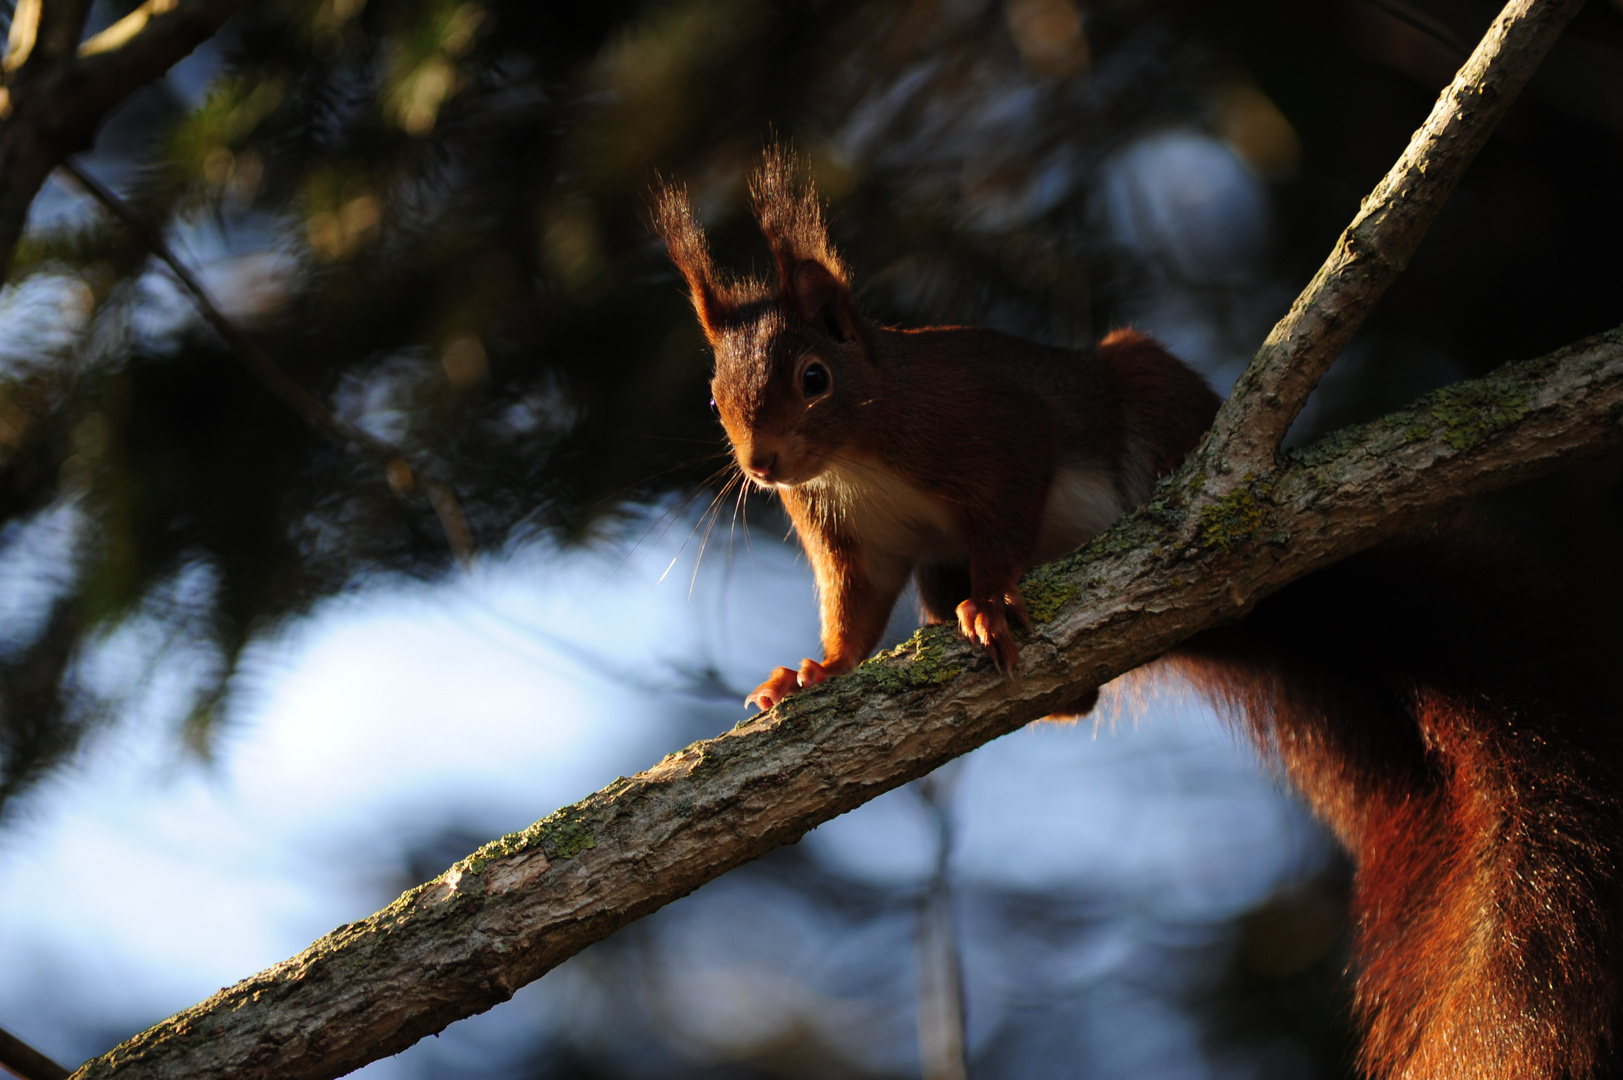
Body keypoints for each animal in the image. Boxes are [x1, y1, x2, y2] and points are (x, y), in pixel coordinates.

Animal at [649, 149, 1623, 1078]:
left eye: (814, 377)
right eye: (714, 395)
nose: (762, 464)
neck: (857, 452)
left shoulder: (993, 430)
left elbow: (1005, 518)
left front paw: (990, 601)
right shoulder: (853, 540)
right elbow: (851, 613)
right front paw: (811, 672)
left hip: (1146, 387)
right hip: (941, 574)